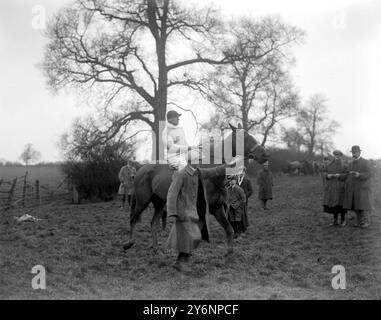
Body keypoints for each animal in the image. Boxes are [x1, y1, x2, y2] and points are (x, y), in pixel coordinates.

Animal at [123, 124, 268, 254]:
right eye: (245, 137)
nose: (264, 155)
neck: (212, 172)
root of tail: (140, 170)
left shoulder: (217, 207)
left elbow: (228, 228)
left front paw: (229, 251)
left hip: (159, 203)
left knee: (153, 223)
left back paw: (155, 248)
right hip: (143, 201)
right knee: (133, 219)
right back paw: (129, 243)